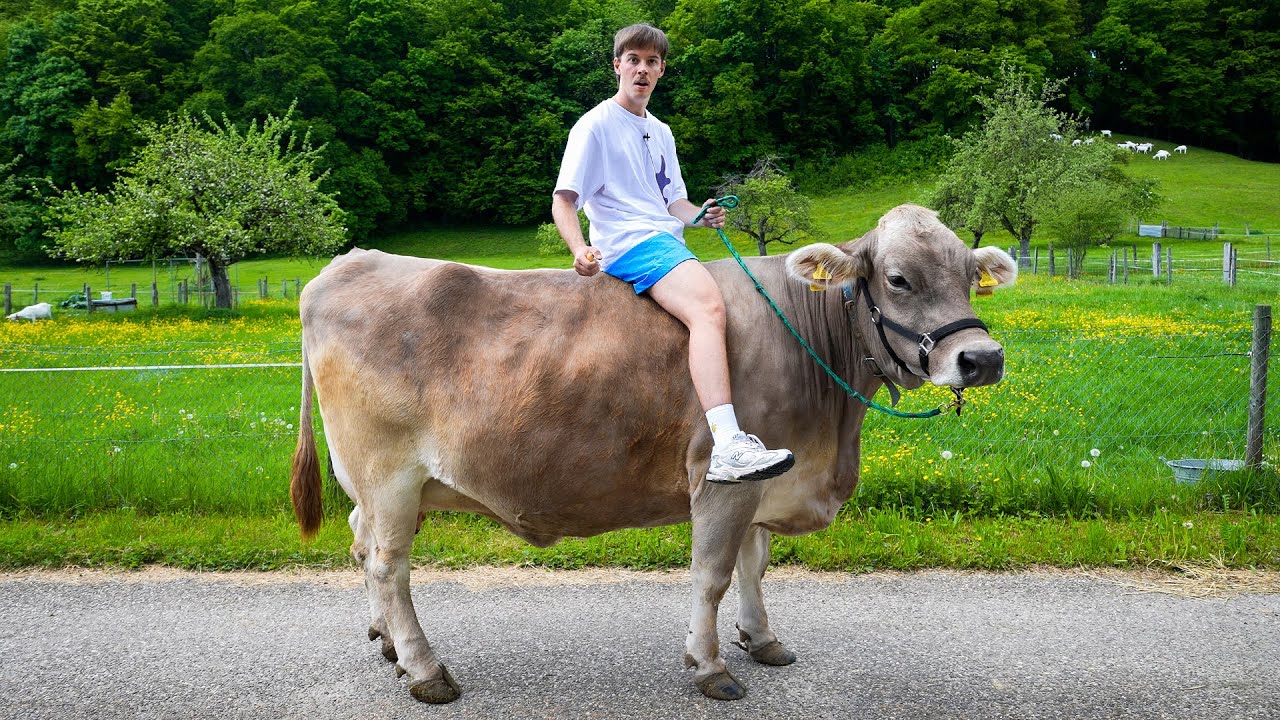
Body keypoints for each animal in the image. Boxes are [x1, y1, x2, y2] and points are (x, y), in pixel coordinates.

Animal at [290, 204, 1018, 703]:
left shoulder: (770, 478)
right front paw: (711, 666)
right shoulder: (720, 480)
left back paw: (387, 642)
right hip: (387, 474)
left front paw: (762, 639)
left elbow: (756, 565)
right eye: (898, 278)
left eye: (970, 276)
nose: (982, 358)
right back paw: (426, 670)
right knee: (389, 566)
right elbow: (713, 574)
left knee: (362, 545)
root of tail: (347, 264)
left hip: (377, 486)